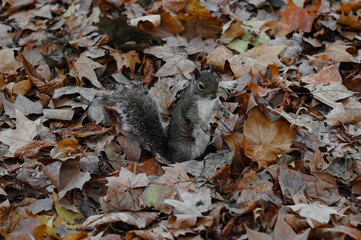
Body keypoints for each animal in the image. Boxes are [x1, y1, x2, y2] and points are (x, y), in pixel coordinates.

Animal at [87, 66, 231, 162]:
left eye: (216, 81)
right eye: (201, 86)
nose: (214, 95)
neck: (206, 100)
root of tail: (169, 154)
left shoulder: (213, 104)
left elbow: (218, 106)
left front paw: (226, 112)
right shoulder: (190, 106)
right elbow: (194, 117)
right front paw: (204, 125)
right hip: (186, 148)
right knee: (180, 161)